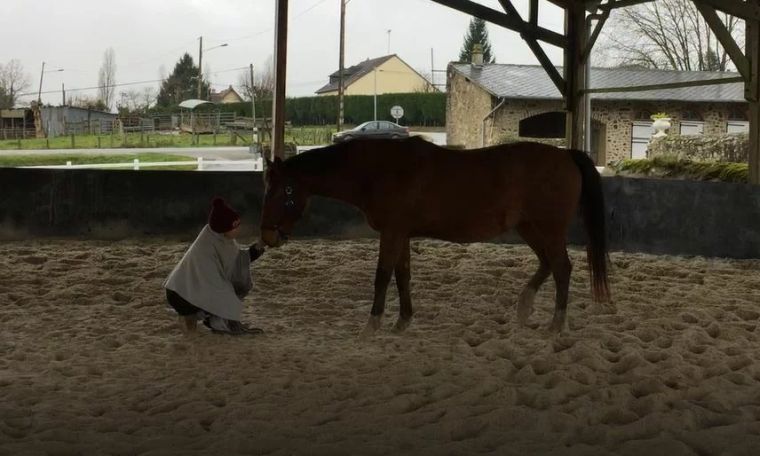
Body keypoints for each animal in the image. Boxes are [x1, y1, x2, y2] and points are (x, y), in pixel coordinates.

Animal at [262, 136, 612, 334]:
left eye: (284, 192)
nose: (267, 236)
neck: (381, 170)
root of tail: (567, 155)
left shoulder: (392, 232)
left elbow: (382, 276)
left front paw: (371, 326)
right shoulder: (401, 234)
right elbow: (402, 275)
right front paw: (402, 321)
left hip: (548, 228)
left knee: (562, 267)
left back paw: (555, 325)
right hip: (529, 228)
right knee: (548, 264)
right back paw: (525, 308)